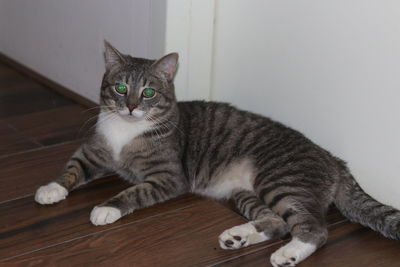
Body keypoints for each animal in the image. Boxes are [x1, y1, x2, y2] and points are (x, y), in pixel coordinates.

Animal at [35, 40, 400, 266]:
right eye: (121, 87)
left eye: (149, 92)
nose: (131, 106)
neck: (126, 131)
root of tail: (334, 159)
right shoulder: (95, 150)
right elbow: (73, 167)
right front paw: (52, 188)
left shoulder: (169, 177)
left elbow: (134, 190)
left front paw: (107, 207)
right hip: (247, 192)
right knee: (276, 222)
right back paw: (236, 237)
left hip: (281, 178)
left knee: (314, 229)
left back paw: (289, 253)